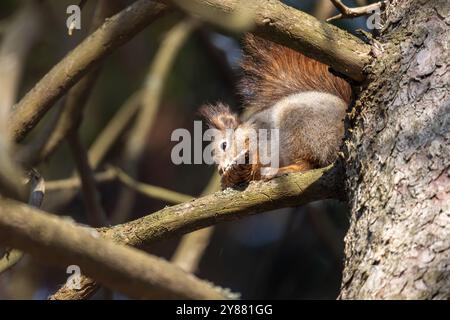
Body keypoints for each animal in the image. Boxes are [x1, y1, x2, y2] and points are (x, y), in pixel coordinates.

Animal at [200, 35, 352, 190]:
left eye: (224, 145)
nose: (221, 169)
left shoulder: (265, 136)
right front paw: (229, 177)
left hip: (299, 128)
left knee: (306, 164)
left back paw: (281, 171)